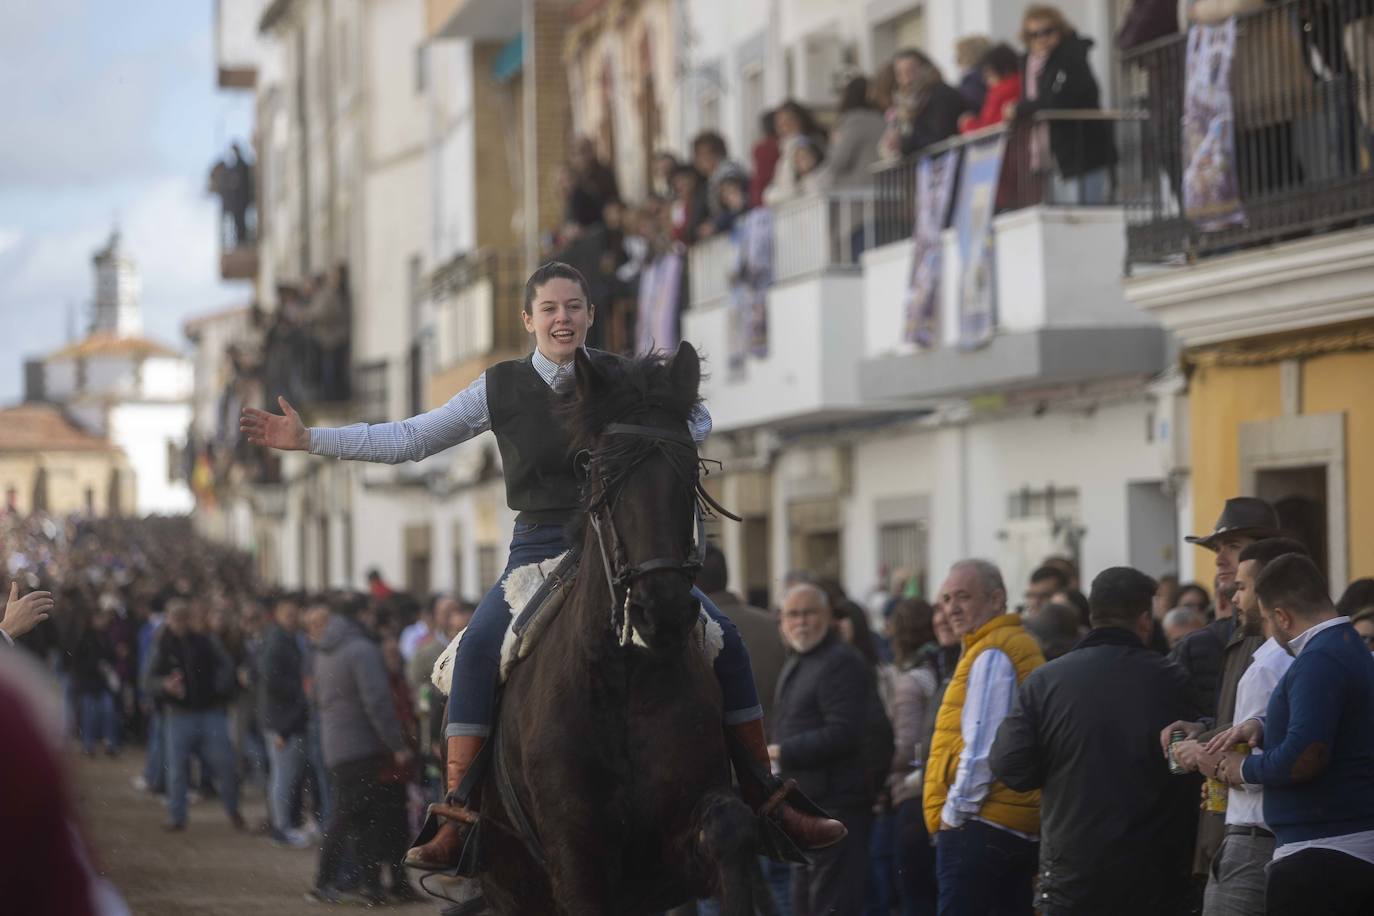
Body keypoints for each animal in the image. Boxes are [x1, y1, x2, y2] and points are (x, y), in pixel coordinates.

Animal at [467, 343, 758, 916]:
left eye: (690, 472)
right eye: (603, 475)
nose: (660, 611)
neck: (623, 679)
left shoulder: (674, 853)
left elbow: (730, 828)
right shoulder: (576, 854)